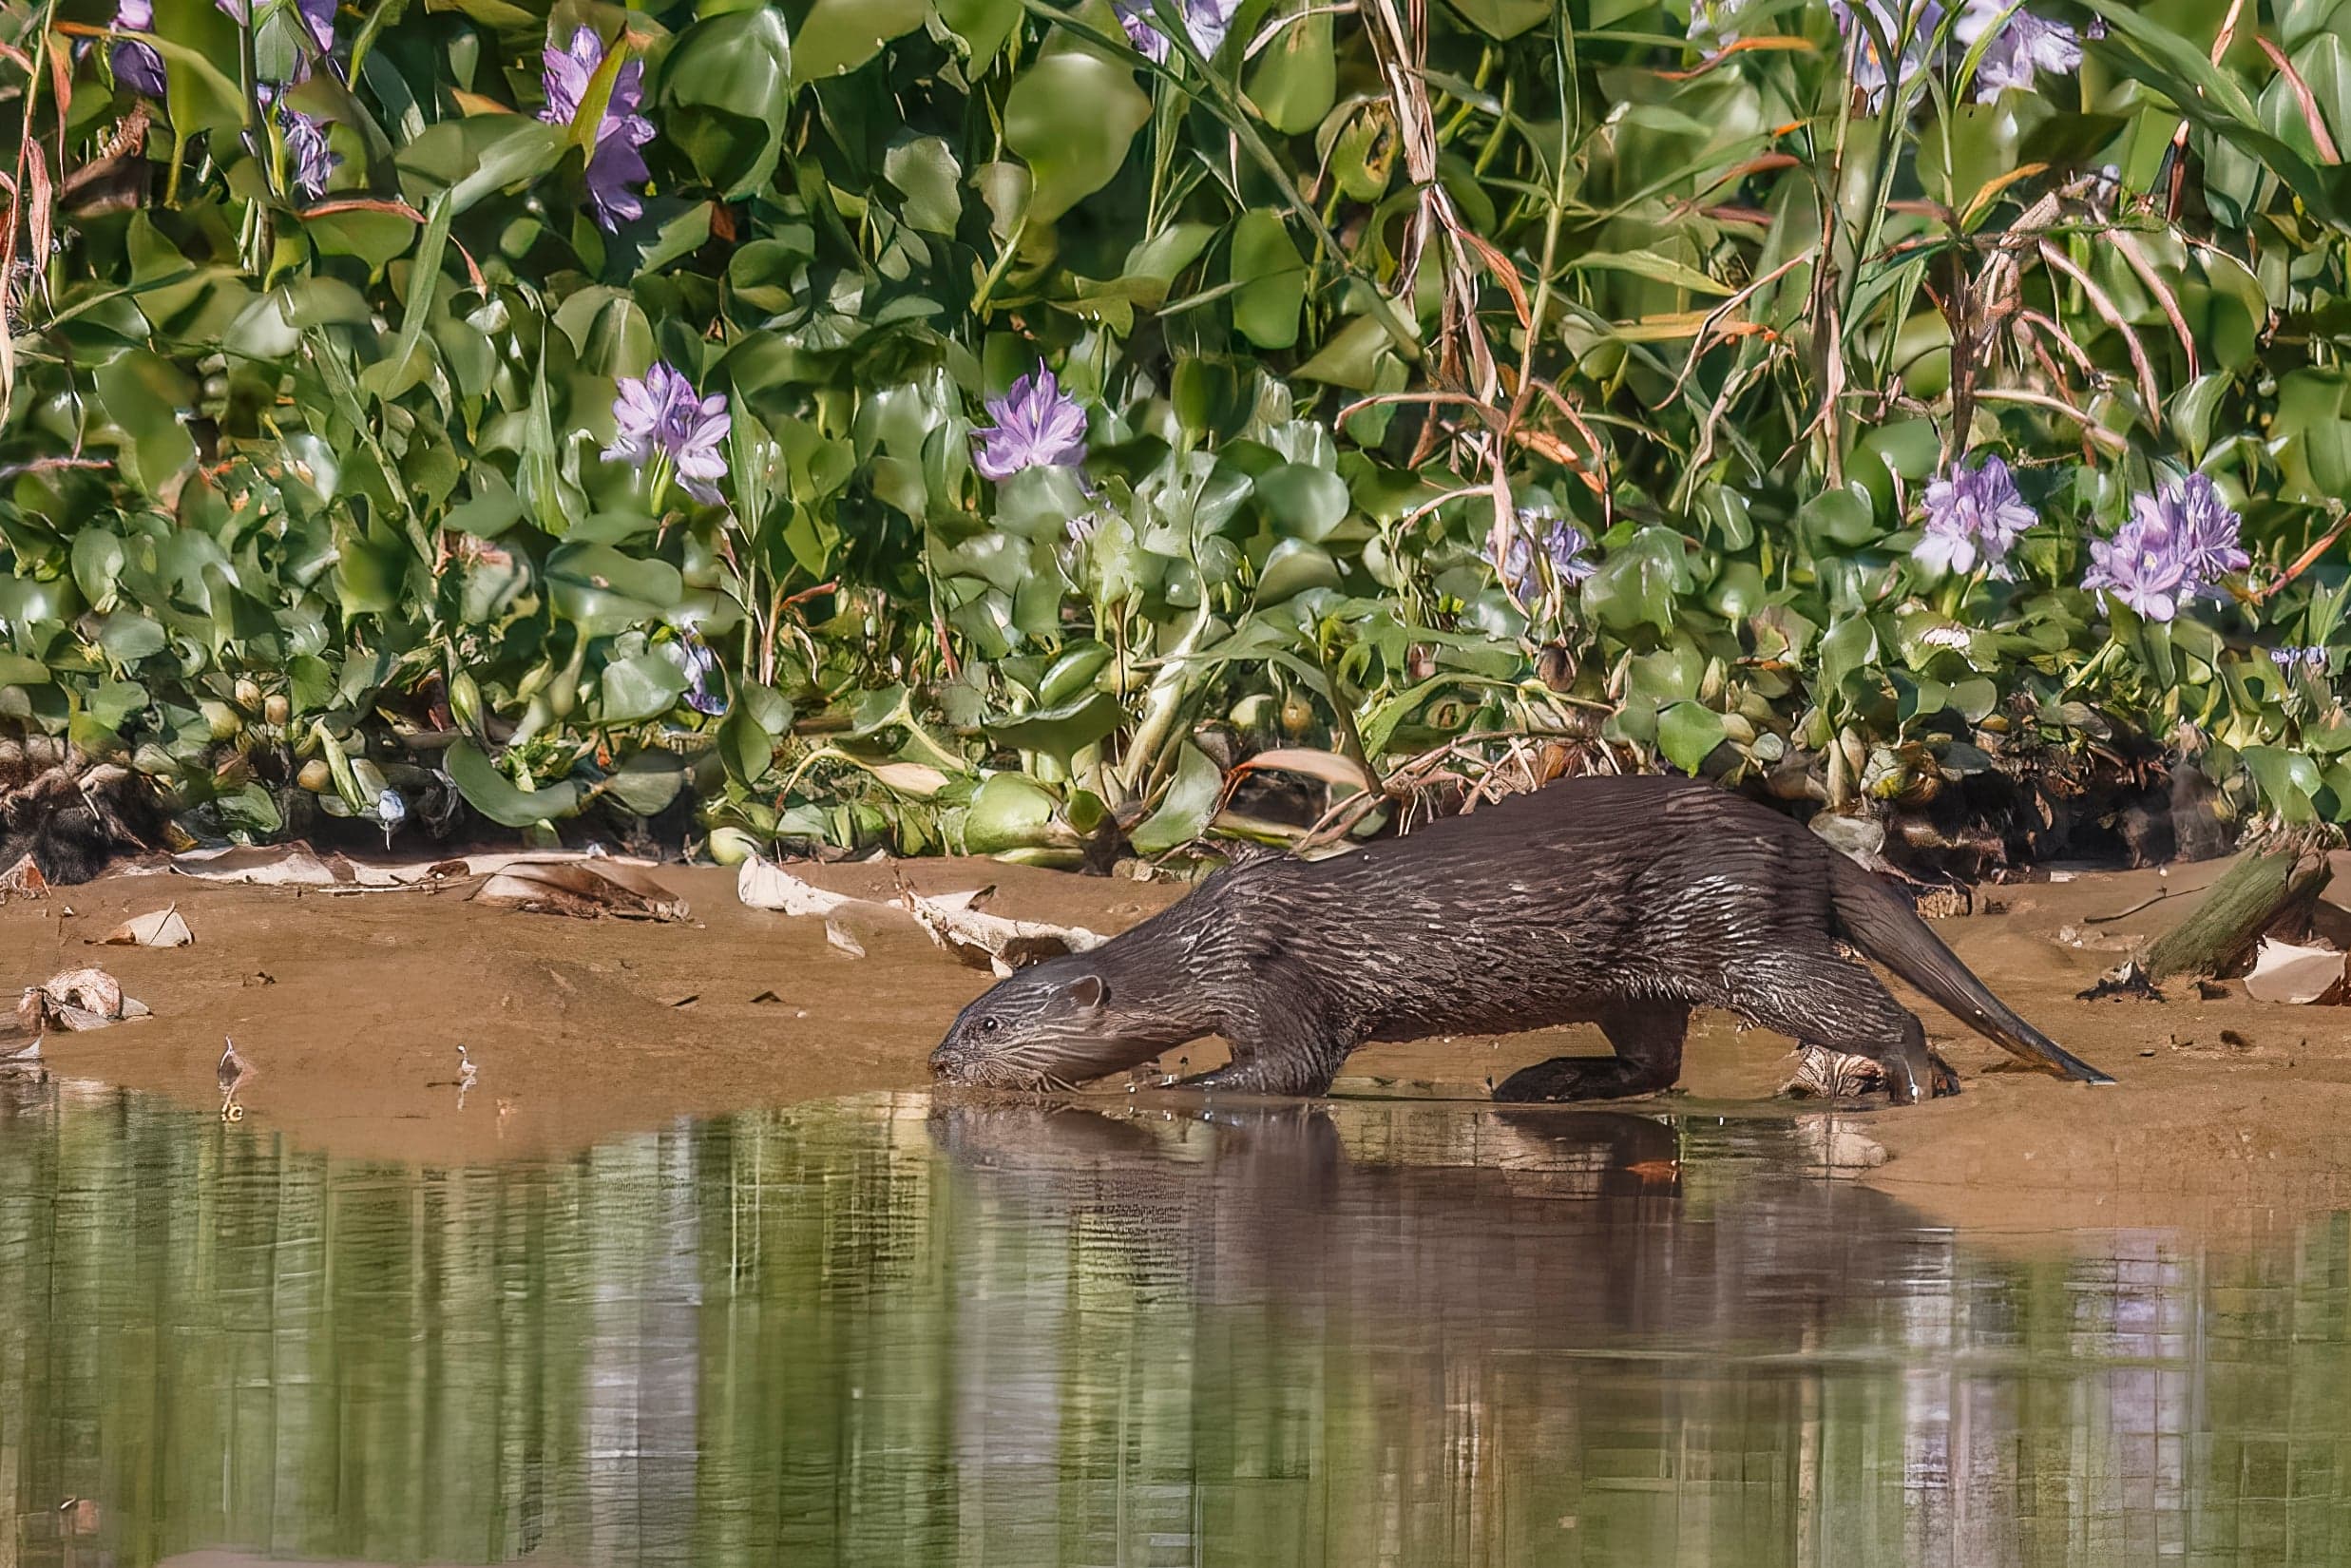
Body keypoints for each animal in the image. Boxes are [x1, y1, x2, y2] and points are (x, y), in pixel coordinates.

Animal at [928, 774, 2112, 1104]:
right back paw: (1550, 1080)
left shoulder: (1273, 980)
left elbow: (1292, 1069)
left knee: (1868, 1011)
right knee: (1651, 1063)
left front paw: (1179, 1086)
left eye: (986, 1025)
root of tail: (1798, 837)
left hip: (1744, 938)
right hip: (1639, 973)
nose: (936, 1060)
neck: (1204, 942)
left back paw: (1910, 1080)